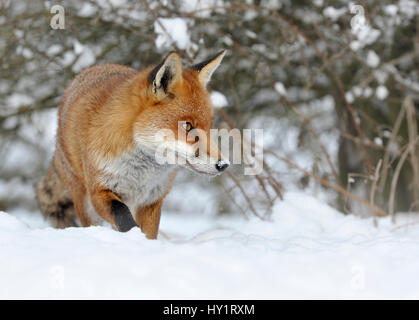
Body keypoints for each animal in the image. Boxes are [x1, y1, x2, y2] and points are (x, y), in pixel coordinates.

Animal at [35, 51, 230, 239]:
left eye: (210, 126)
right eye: (188, 126)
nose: (223, 165)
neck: (140, 174)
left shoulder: (152, 200)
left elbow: (149, 233)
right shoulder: (99, 190)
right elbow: (122, 215)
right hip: (82, 198)